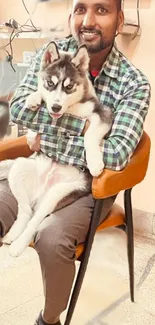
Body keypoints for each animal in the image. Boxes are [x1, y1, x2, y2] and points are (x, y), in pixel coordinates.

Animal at [0, 42, 112, 256]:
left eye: (69, 86)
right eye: (50, 84)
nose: (56, 107)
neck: (70, 109)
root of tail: (41, 192)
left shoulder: (102, 114)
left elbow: (90, 135)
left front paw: (95, 162)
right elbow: (37, 93)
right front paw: (34, 98)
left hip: (58, 193)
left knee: (36, 219)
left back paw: (18, 244)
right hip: (21, 168)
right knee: (26, 211)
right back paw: (13, 235)